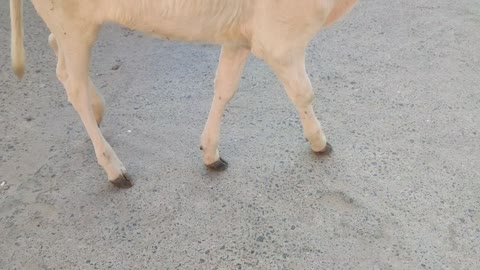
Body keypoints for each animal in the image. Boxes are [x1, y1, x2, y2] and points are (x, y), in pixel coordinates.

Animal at [10, 0, 356, 188]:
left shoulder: (240, 36)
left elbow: (225, 87)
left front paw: (210, 152)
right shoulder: (281, 43)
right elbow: (303, 92)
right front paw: (318, 142)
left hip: (72, 28)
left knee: (61, 62)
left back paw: (97, 112)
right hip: (72, 23)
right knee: (74, 86)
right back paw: (113, 167)